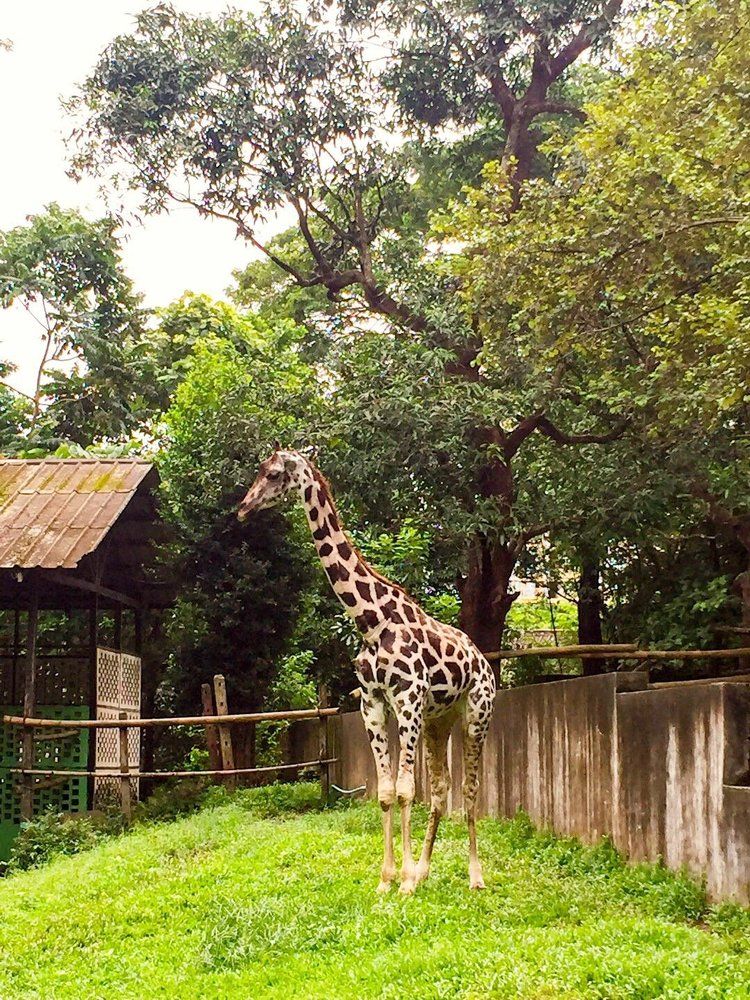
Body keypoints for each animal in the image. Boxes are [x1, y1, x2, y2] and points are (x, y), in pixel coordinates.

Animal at [238, 447, 496, 894]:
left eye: (271, 474)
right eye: (259, 471)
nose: (242, 508)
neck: (370, 622)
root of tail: (484, 661)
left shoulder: (407, 699)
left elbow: (407, 790)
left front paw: (404, 883)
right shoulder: (373, 703)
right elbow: (387, 791)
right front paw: (388, 879)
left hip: (475, 715)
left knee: (469, 790)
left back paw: (474, 876)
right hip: (439, 720)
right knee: (442, 790)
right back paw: (426, 870)